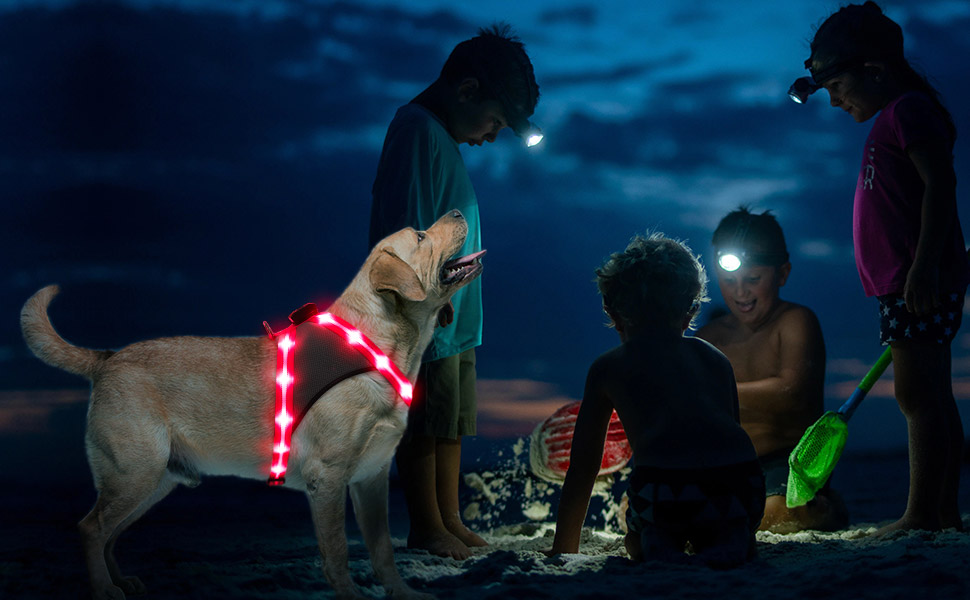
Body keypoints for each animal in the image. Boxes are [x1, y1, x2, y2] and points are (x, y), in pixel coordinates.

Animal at [18, 210, 480, 600]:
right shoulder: (328, 478)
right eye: (419, 236)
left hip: (151, 481)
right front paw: (349, 594)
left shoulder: (372, 478)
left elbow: (383, 549)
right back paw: (103, 589)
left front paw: (403, 593)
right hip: (135, 472)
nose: (459, 211)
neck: (377, 342)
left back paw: (121, 581)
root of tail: (107, 357)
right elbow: (337, 552)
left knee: (109, 533)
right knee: (91, 528)